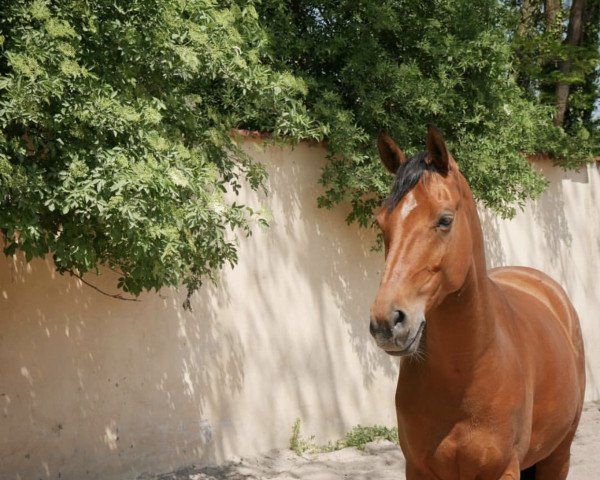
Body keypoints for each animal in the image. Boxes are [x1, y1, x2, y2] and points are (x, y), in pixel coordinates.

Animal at [370, 124, 584, 480]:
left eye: (445, 220)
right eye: (381, 222)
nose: (387, 323)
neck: (467, 371)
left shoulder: (503, 470)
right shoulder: (418, 469)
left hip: (558, 457)